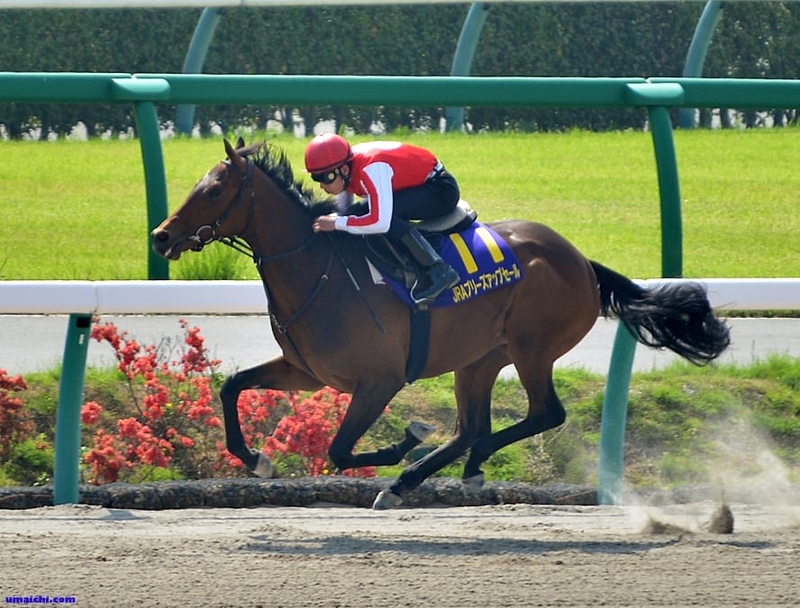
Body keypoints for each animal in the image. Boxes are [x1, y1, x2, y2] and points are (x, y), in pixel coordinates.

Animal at [150, 138, 731, 509]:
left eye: (213, 191)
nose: (160, 236)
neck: (318, 268)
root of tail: (581, 262)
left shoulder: (379, 380)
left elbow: (339, 450)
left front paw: (405, 438)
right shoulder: (307, 372)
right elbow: (232, 386)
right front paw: (256, 460)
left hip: (532, 348)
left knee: (543, 414)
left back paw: (449, 469)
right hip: (480, 357)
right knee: (472, 426)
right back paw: (425, 477)